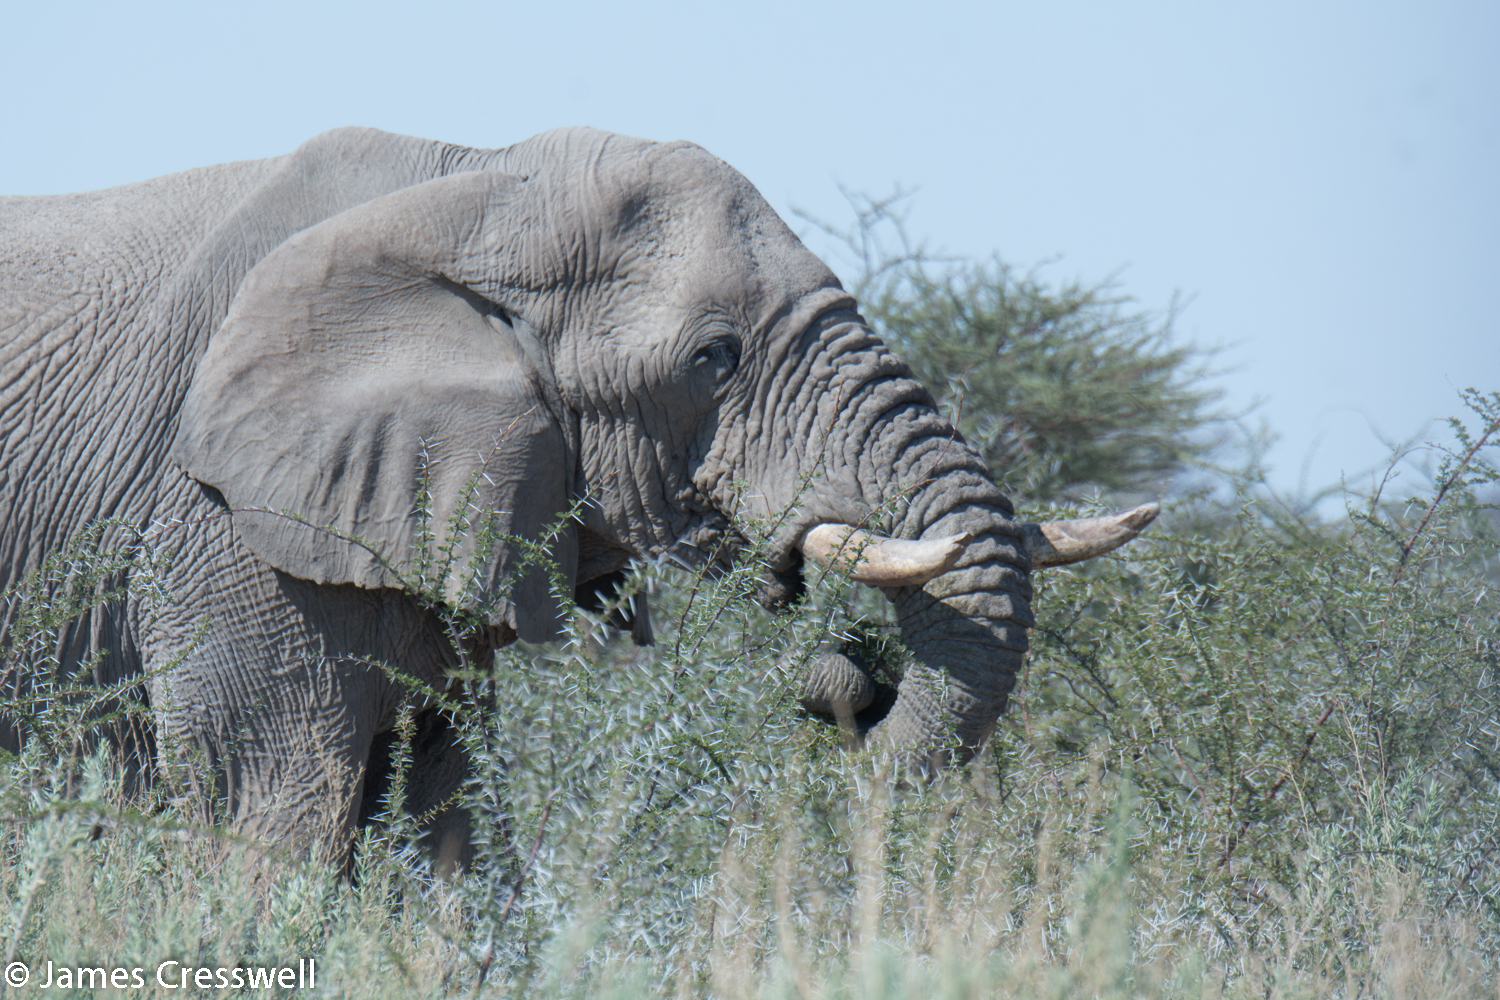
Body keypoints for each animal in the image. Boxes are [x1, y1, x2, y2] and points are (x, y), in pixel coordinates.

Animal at [0, 127, 1155, 867]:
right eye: (714, 359)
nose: (848, 671)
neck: (472, 186)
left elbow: (450, 819)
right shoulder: (222, 521)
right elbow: (269, 817)